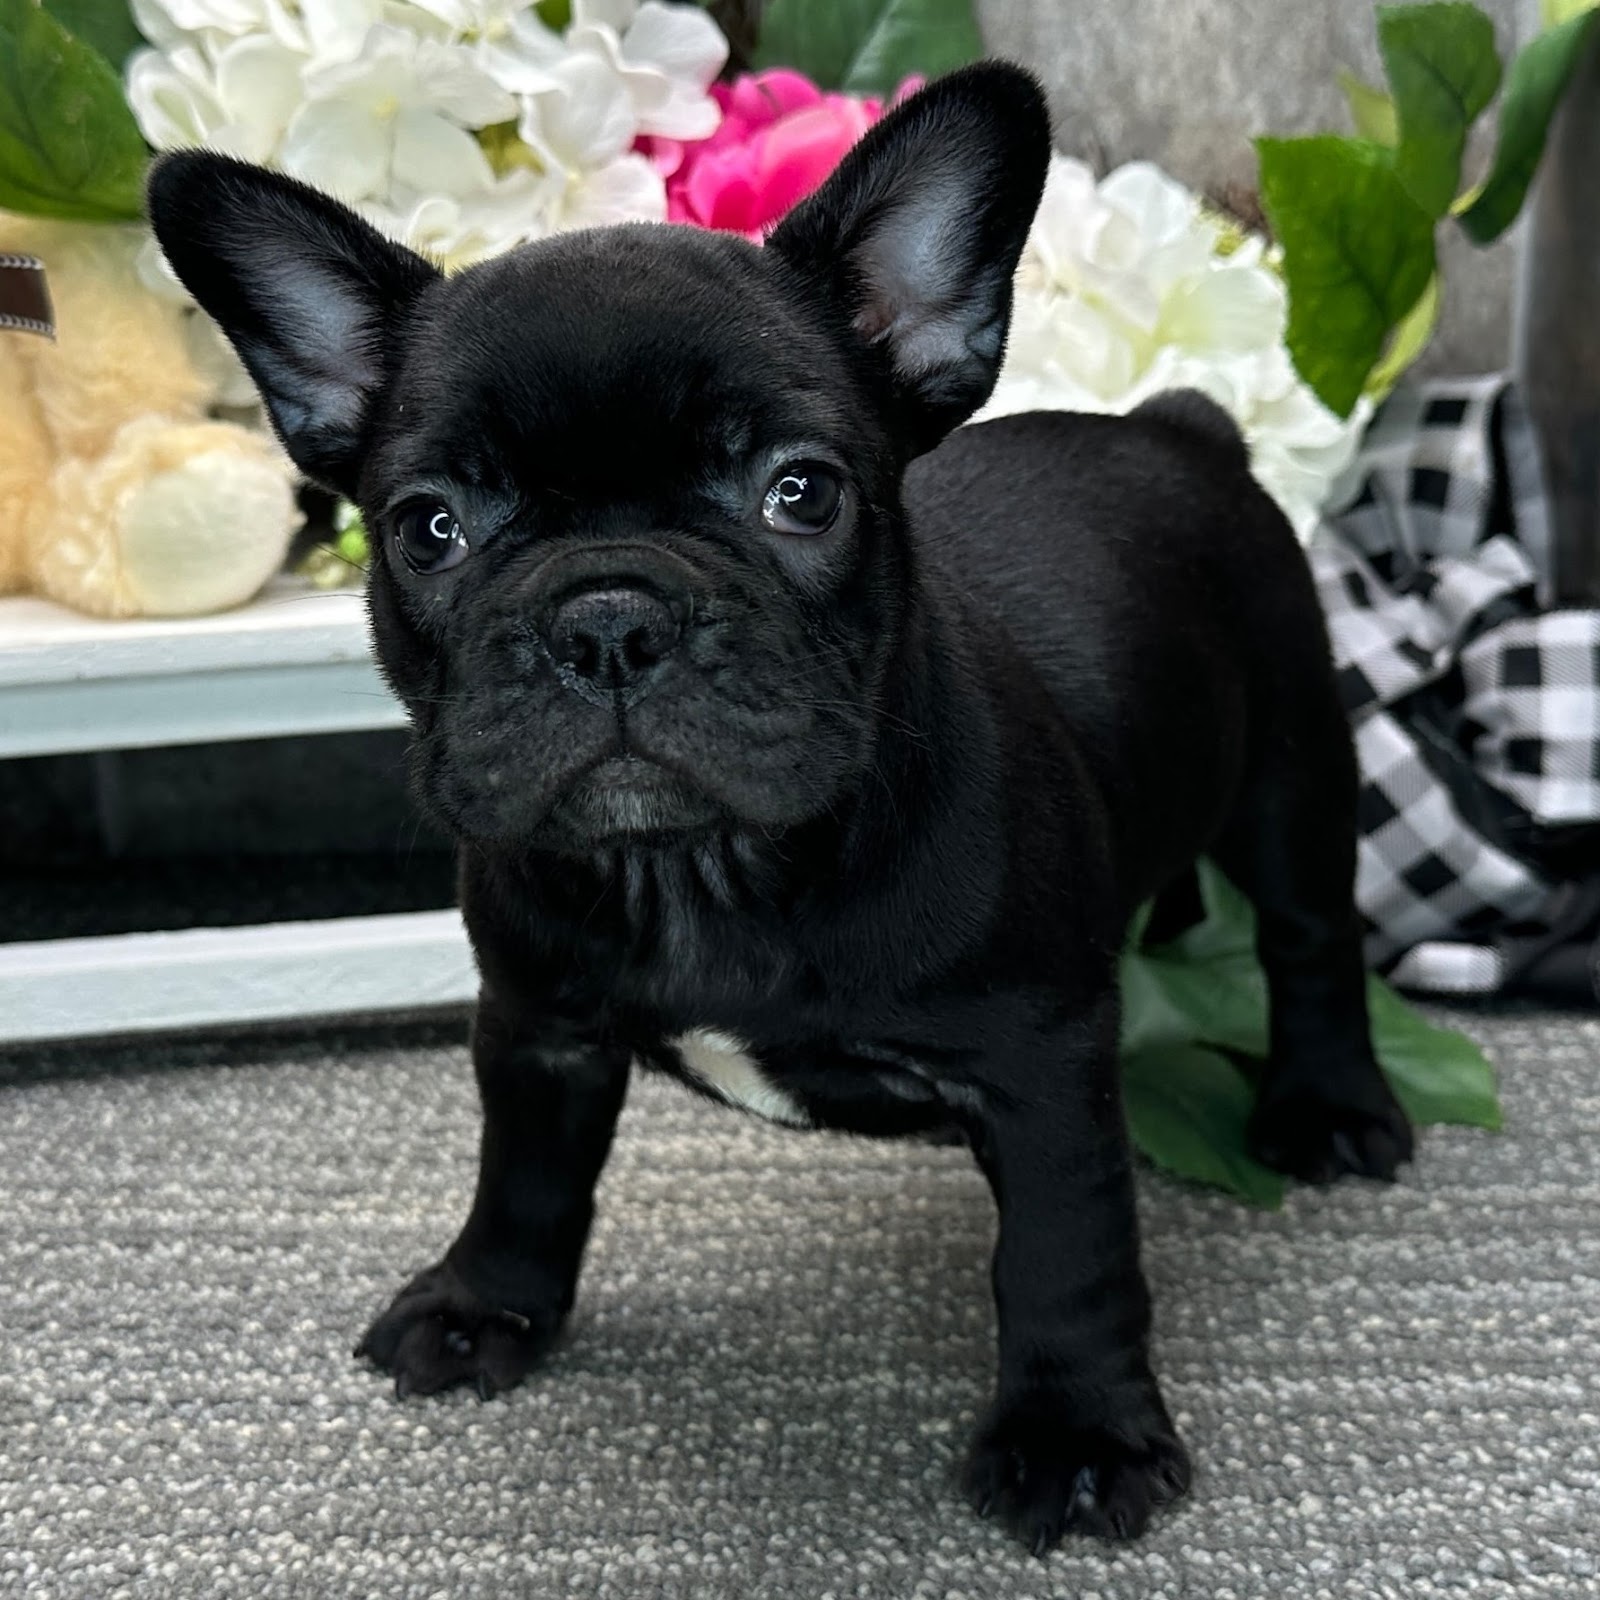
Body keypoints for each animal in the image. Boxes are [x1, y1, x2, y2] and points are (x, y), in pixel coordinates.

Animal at [144, 62, 1408, 1548]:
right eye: (428, 528)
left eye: (800, 493)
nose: (609, 617)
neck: (698, 867)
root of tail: (1178, 427)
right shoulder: (537, 1026)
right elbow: (521, 1177)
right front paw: (481, 1306)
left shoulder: (1039, 1064)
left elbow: (1064, 1257)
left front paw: (1076, 1436)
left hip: (1292, 768)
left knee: (1312, 936)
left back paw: (1327, 1109)